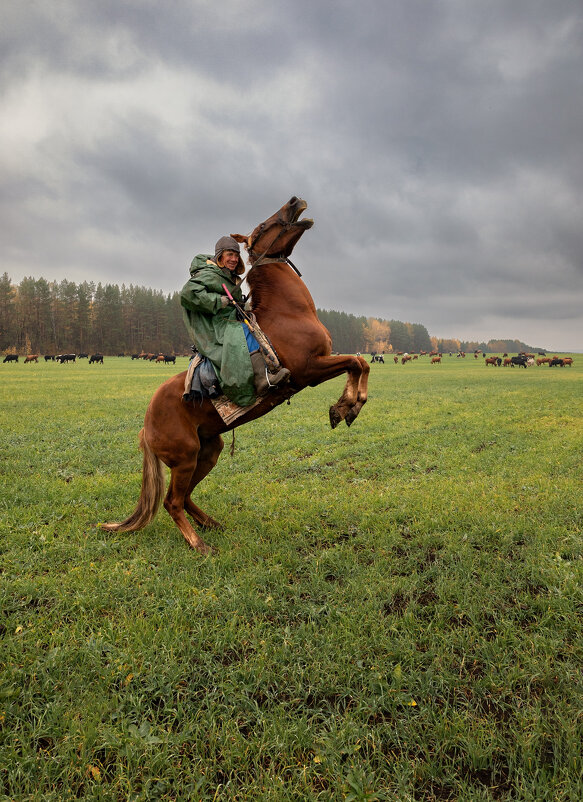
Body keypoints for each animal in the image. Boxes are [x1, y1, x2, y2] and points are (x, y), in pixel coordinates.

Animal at [101, 197, 370, 552]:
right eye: (262, 226)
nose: (294, 201)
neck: (288, 314)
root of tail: (147, 425)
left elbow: (361, 363)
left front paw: (347, 407)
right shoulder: (310, 369)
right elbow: (356, 362)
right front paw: (346, 407)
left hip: (208, 452)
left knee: (185, 498)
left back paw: (211, 524)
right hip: (186, 458)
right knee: (172, 502)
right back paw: (199, 544)